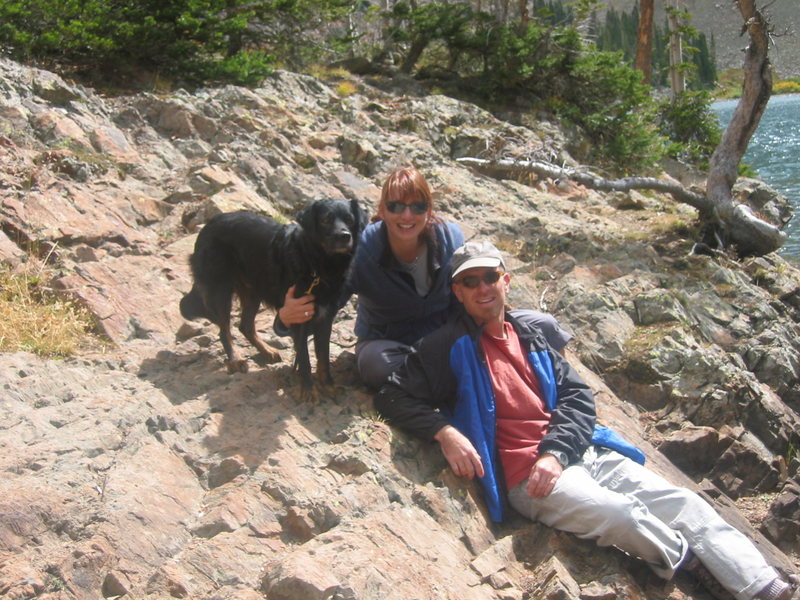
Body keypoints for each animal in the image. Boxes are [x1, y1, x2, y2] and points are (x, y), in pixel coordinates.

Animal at [180, 198, 368, 398]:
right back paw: (235, 360)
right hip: (220, 290)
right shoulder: (298, 315)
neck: (318, 266)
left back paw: (267, 351)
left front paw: (328, 386)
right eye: (326, 220)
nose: (344, 236)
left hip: (252, 291)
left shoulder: (325, 317)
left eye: (349, 219)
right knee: (224, 331)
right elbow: (304, 357)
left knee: (245, 326)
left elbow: (323, 356)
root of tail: (209, 224)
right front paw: (309, 391)